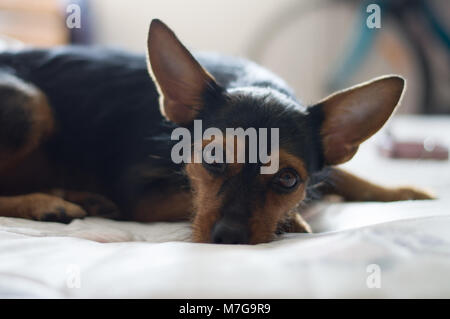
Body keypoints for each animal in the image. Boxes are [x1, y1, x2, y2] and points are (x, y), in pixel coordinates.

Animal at [0, 19, 432, 245]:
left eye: (288, 179)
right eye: (213, 159)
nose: (229, 236)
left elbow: (344, 173)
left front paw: (400, 192)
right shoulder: (141, 195)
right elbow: (190, 202)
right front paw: (294, 221)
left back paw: (80, 197)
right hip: (31, 103)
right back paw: (46, 203)